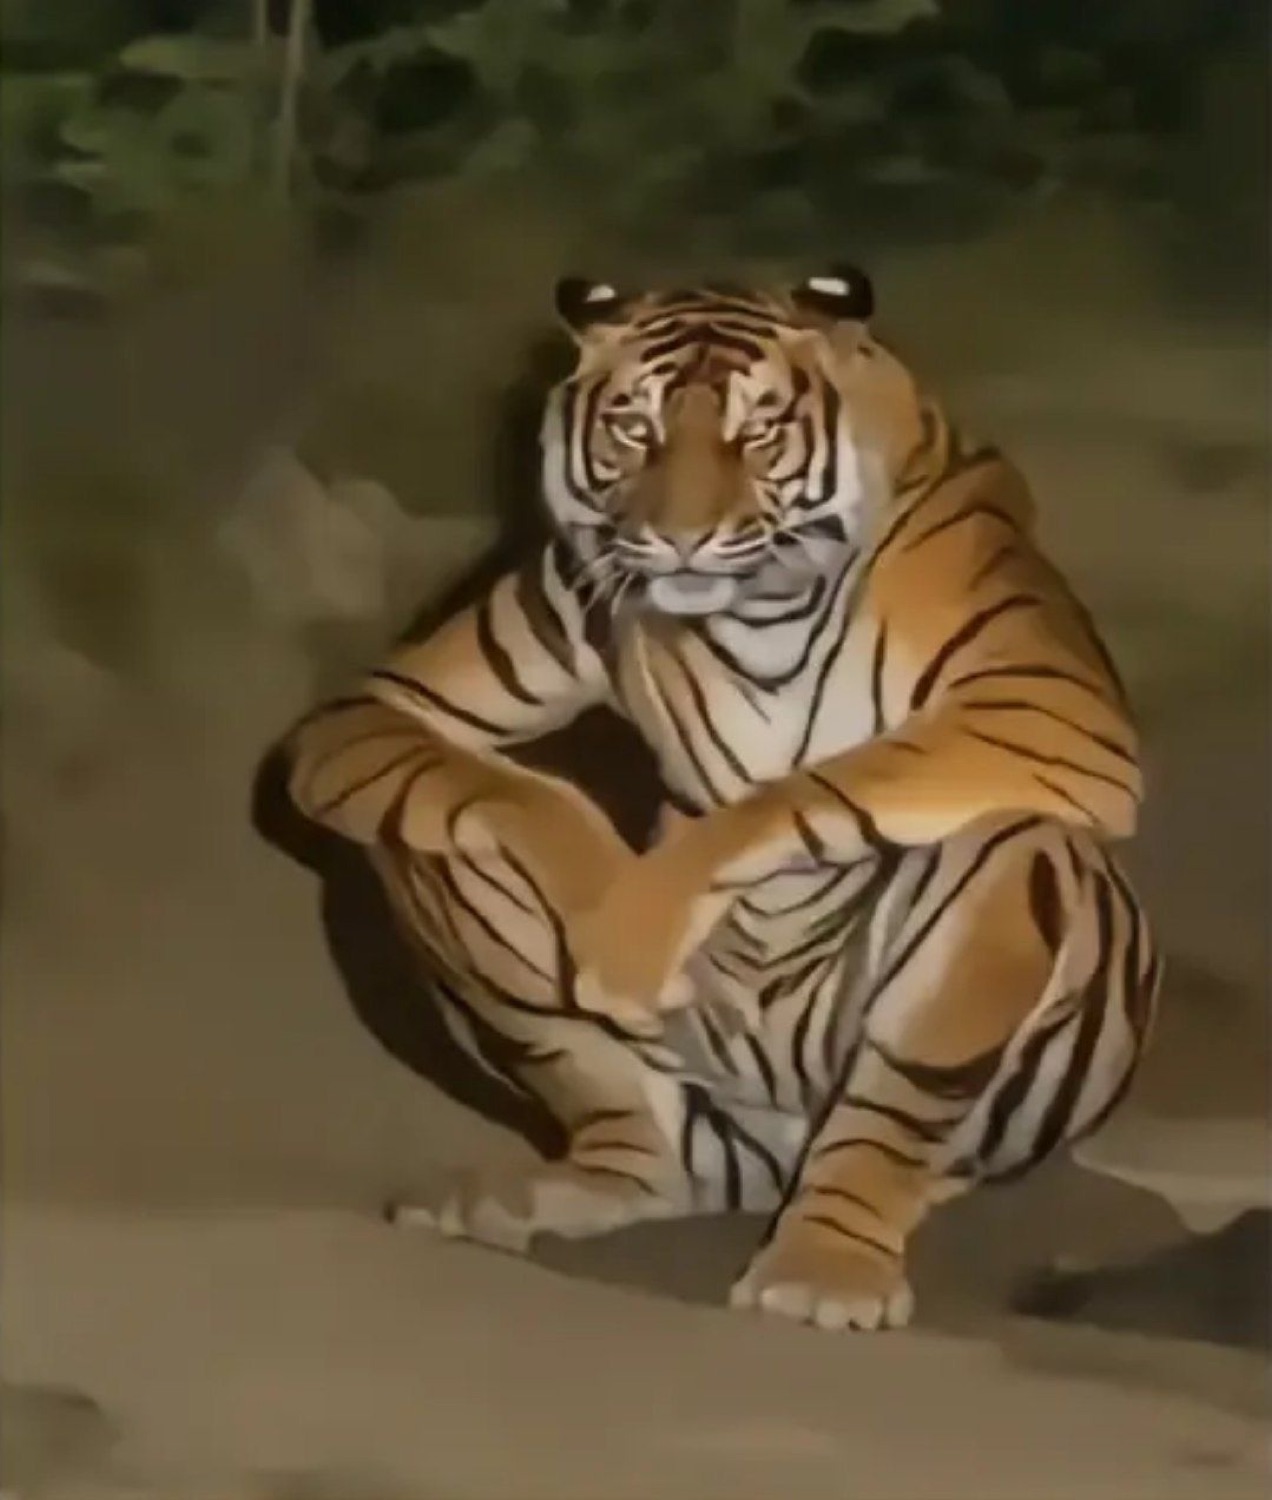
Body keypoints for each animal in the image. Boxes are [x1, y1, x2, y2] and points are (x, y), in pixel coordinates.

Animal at [284, 266, 1160, 1332]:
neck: (759, 611)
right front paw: (609, 910)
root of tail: (769, 1155)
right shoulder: (401, 699)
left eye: (758, 432)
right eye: (634, 428)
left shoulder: (1048, 704)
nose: (681, 540)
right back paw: (539, 1194)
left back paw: (827, 1268)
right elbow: (516, 790)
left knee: (896, 1102)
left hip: (974, 961)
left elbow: (812, 787)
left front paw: (642, 914)